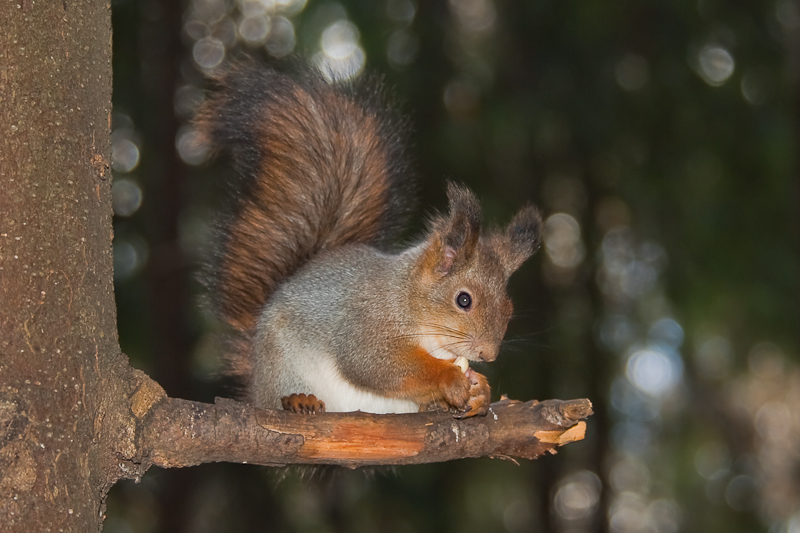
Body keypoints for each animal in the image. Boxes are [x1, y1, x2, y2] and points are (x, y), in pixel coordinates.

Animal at [197, 62, 540, 418]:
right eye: (463, 300)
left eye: (509, 308)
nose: (488, 354)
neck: (408, 299)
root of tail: (256, 378)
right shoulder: (366, 326)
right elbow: (375, 365)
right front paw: (449, 377)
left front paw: (480, 390)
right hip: (280, 366)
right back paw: (297, 399)